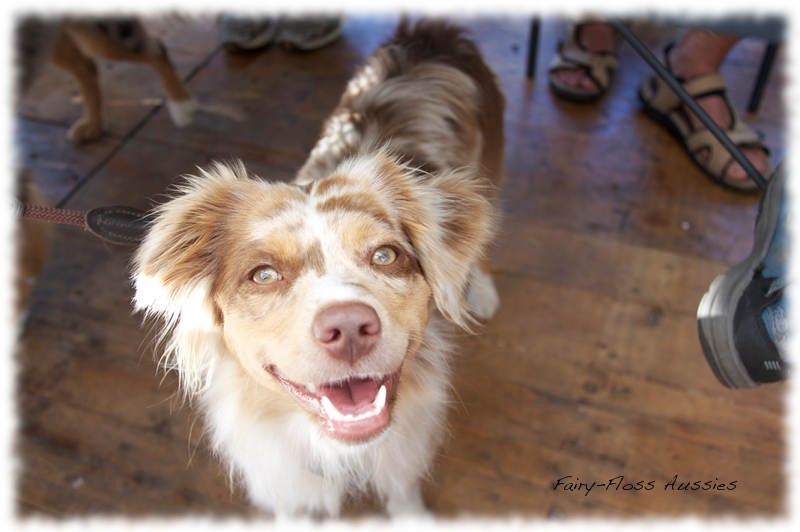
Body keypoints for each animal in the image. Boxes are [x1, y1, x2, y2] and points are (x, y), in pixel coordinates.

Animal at [134, 19, 504, 516]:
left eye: (386, 255)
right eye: (263, 274)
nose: (348, 328)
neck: (337, 448)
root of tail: (430, 33)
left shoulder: (402, 450)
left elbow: (403, 491)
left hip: (489, 172)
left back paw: (481, 290)